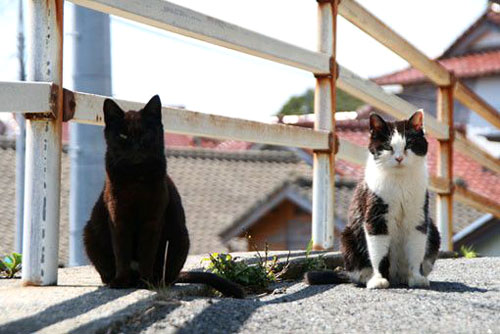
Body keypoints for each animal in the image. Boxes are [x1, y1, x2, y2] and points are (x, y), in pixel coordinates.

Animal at [306, 111, 440, 288]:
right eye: (388, 147)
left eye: (409, 145)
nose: (399, 158)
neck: (400, 182)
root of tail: (395, 277)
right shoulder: (376, 216)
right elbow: (378, 251)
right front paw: (378, 280)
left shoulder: (418, 217)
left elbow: (416, 248)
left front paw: (416, 277)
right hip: (347, 237)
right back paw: (368, 278)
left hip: (434, 231)